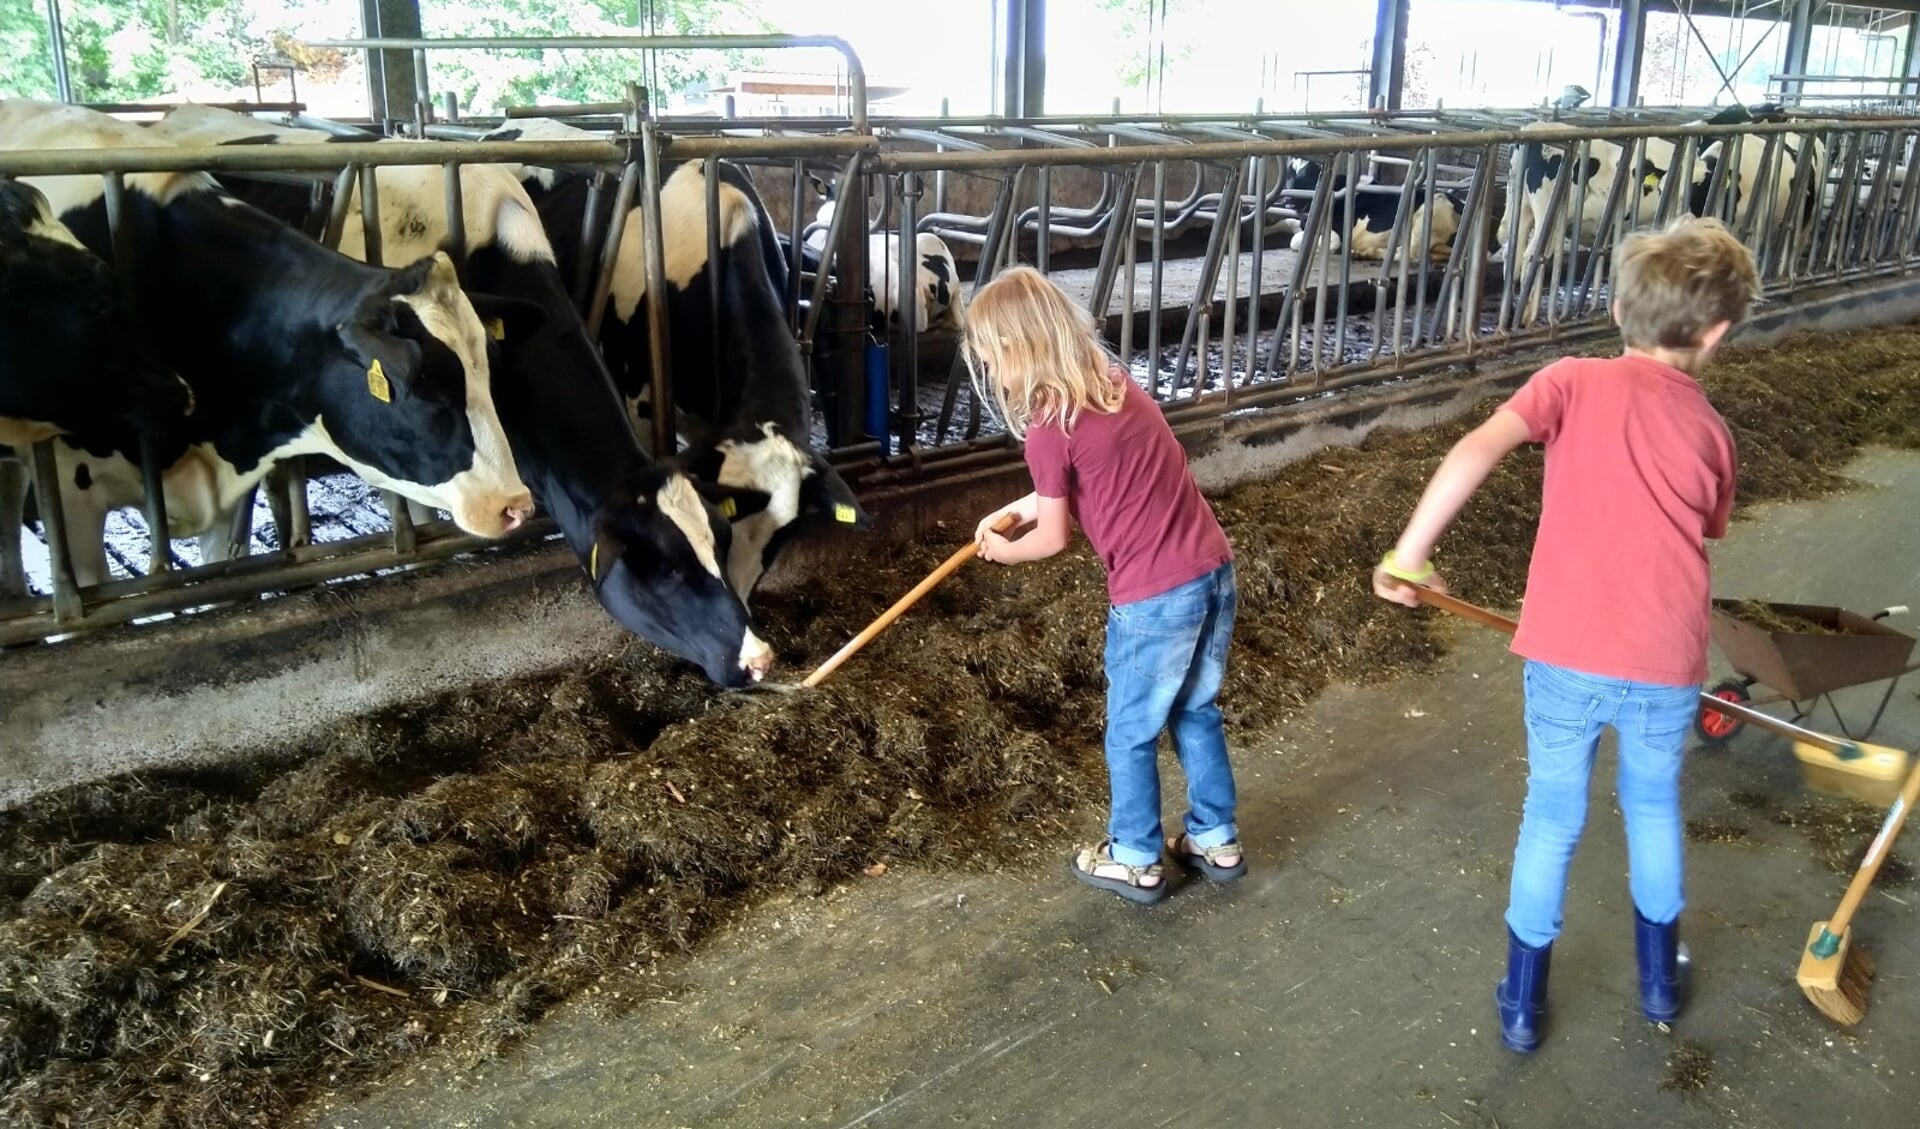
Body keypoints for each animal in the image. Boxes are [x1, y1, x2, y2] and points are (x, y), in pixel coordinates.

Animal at [1282, 158, 1459, 264]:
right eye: (1289, 176)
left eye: (1312, 176)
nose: (1288, 201)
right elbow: (1286, 221)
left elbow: (1296, 241)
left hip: (1429, 214)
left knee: (1408, 253)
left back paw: (1366, 252)